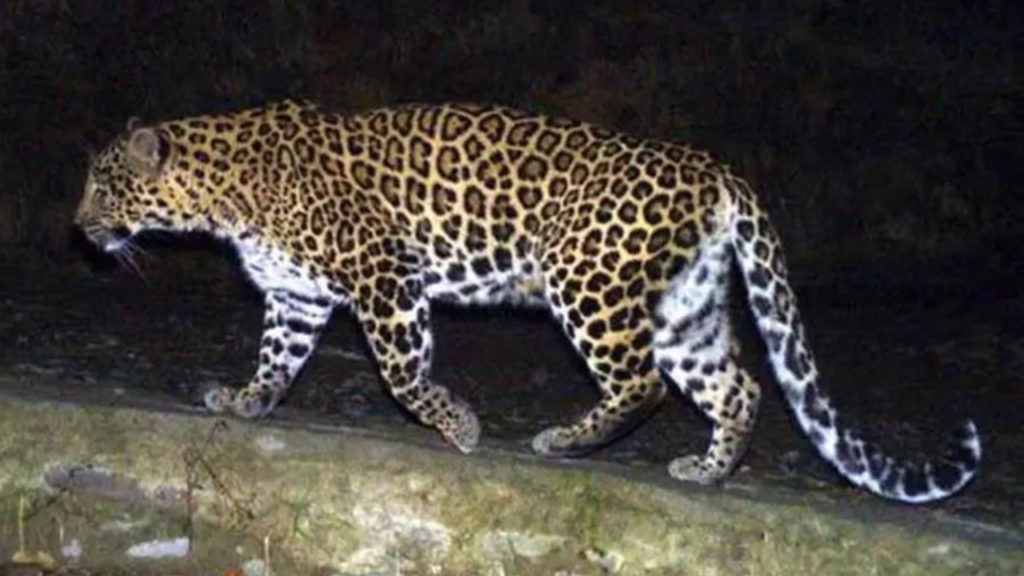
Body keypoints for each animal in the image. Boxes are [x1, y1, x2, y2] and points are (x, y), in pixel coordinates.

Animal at [75, 100, 981, 503]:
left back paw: (565, 441)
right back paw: (706, 470)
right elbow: (275, 361)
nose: (79, 227)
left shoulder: (383, 274)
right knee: (740, 387)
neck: (221, 191)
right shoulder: (296, 297)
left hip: (589, 281)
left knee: (642, 384)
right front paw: (245, 401)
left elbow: (403, 372)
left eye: (103, 184)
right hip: (684, 307)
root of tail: (715, 169)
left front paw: (459, 426)